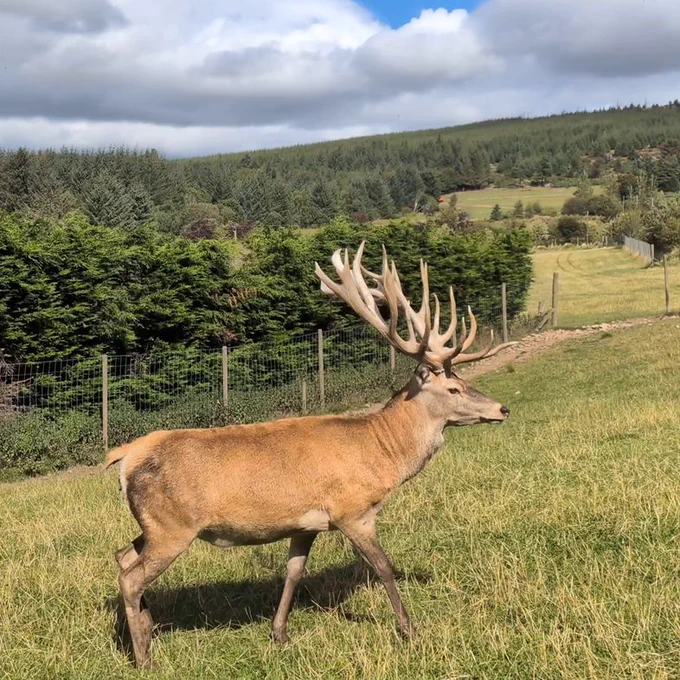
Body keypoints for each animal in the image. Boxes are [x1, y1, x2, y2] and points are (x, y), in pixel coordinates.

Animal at [105, 242, 516, 668]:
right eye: (453, 389)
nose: (502, 409)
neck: (380, 453)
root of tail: (124, 457)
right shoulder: (352, 510)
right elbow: (383, 567)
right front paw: (409, 630)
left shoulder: (305, 524)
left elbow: (294, 572)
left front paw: (279, 633)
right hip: (173, 526)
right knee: (130, 577)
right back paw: (143, 658)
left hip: (154, 525)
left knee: (122, 555)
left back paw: (146, 630)